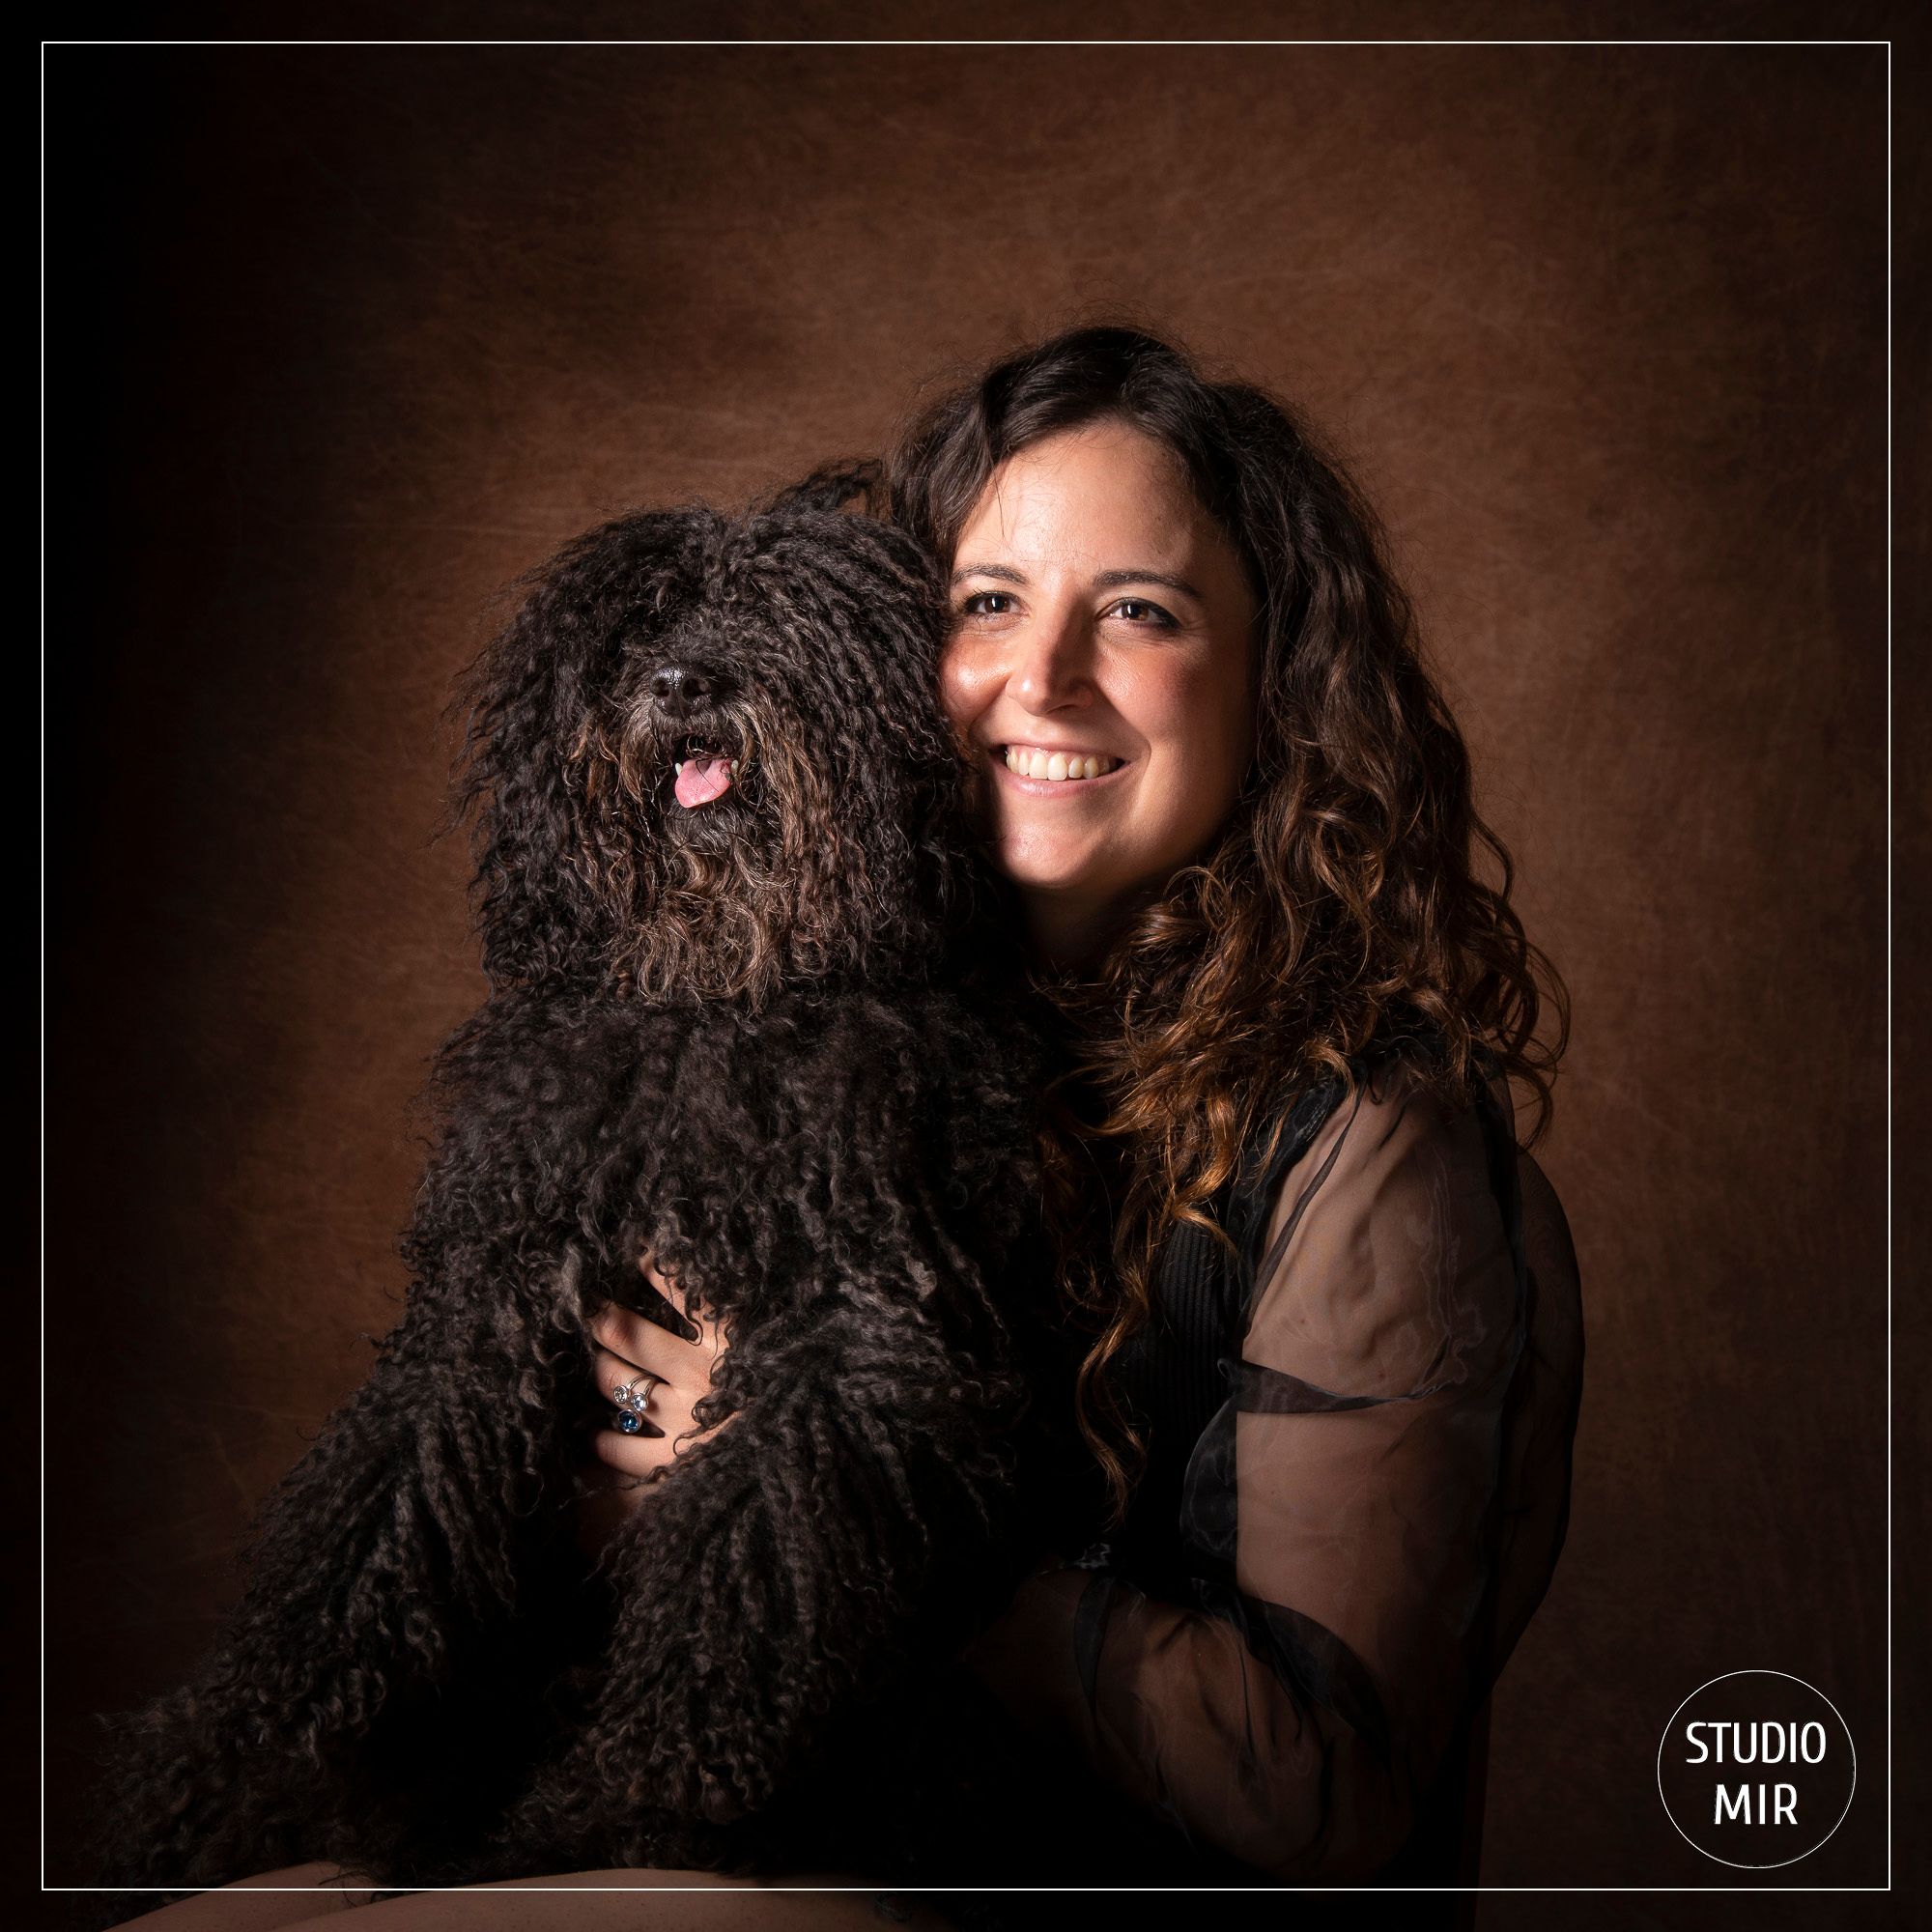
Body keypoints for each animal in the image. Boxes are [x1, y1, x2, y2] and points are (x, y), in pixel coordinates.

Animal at [91, 464, 1074, 1901]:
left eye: (778, 613)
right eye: (635, 627)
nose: (682, 681)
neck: (709, 1002)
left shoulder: (845, 1332)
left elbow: (750, 1538)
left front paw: (668, 1751)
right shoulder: (498, 1275)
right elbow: (385, 1494)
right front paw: (275, 1708)